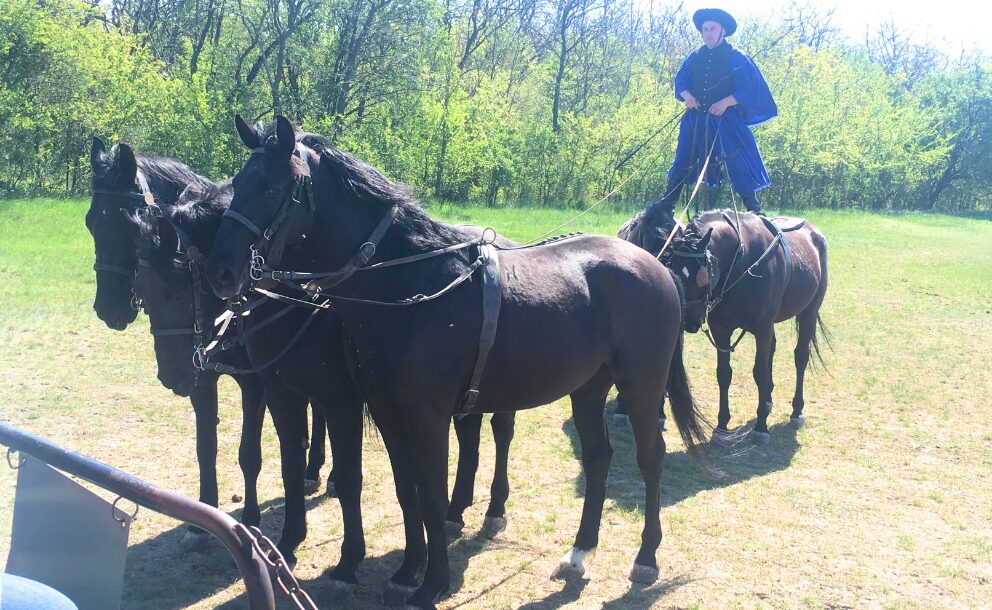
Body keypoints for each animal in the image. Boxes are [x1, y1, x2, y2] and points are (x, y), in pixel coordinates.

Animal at [127, 180, 520, 592]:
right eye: (144, 294)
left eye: (175, 291)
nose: (173, 376)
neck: (300, 304)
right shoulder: (282, 390)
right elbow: (286, 461)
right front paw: (287, 538)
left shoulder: (337, 398)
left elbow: (346, 476)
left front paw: (348, 562)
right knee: (469, 433)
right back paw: (455, 509)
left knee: (501, 432)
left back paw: (493, 509)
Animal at [205, 116, 708, 604]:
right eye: (237, 183)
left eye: (272, 188)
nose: (223, 270)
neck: (409, 283)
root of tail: (656, 266)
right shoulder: (386, 412)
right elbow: (406, 489)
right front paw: (408, 569)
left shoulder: (421, 415)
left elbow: (430, 494)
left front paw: (432, 583)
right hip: (588, 388)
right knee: (598, 456)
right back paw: (580, 552)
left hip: (641, 387)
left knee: (649, 458)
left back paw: (646, 558)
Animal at [624, 207, 824, 444]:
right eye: (672, 269)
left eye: (700, 275)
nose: (688, 318)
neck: (743, 261)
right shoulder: (721, 329)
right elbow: (724, 374)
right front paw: (722, 426)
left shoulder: (762, 328)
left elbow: (760, 372)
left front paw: (761, 427)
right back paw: (768, 400)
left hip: (809, 312)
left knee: (801, 357)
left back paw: (796, 410)